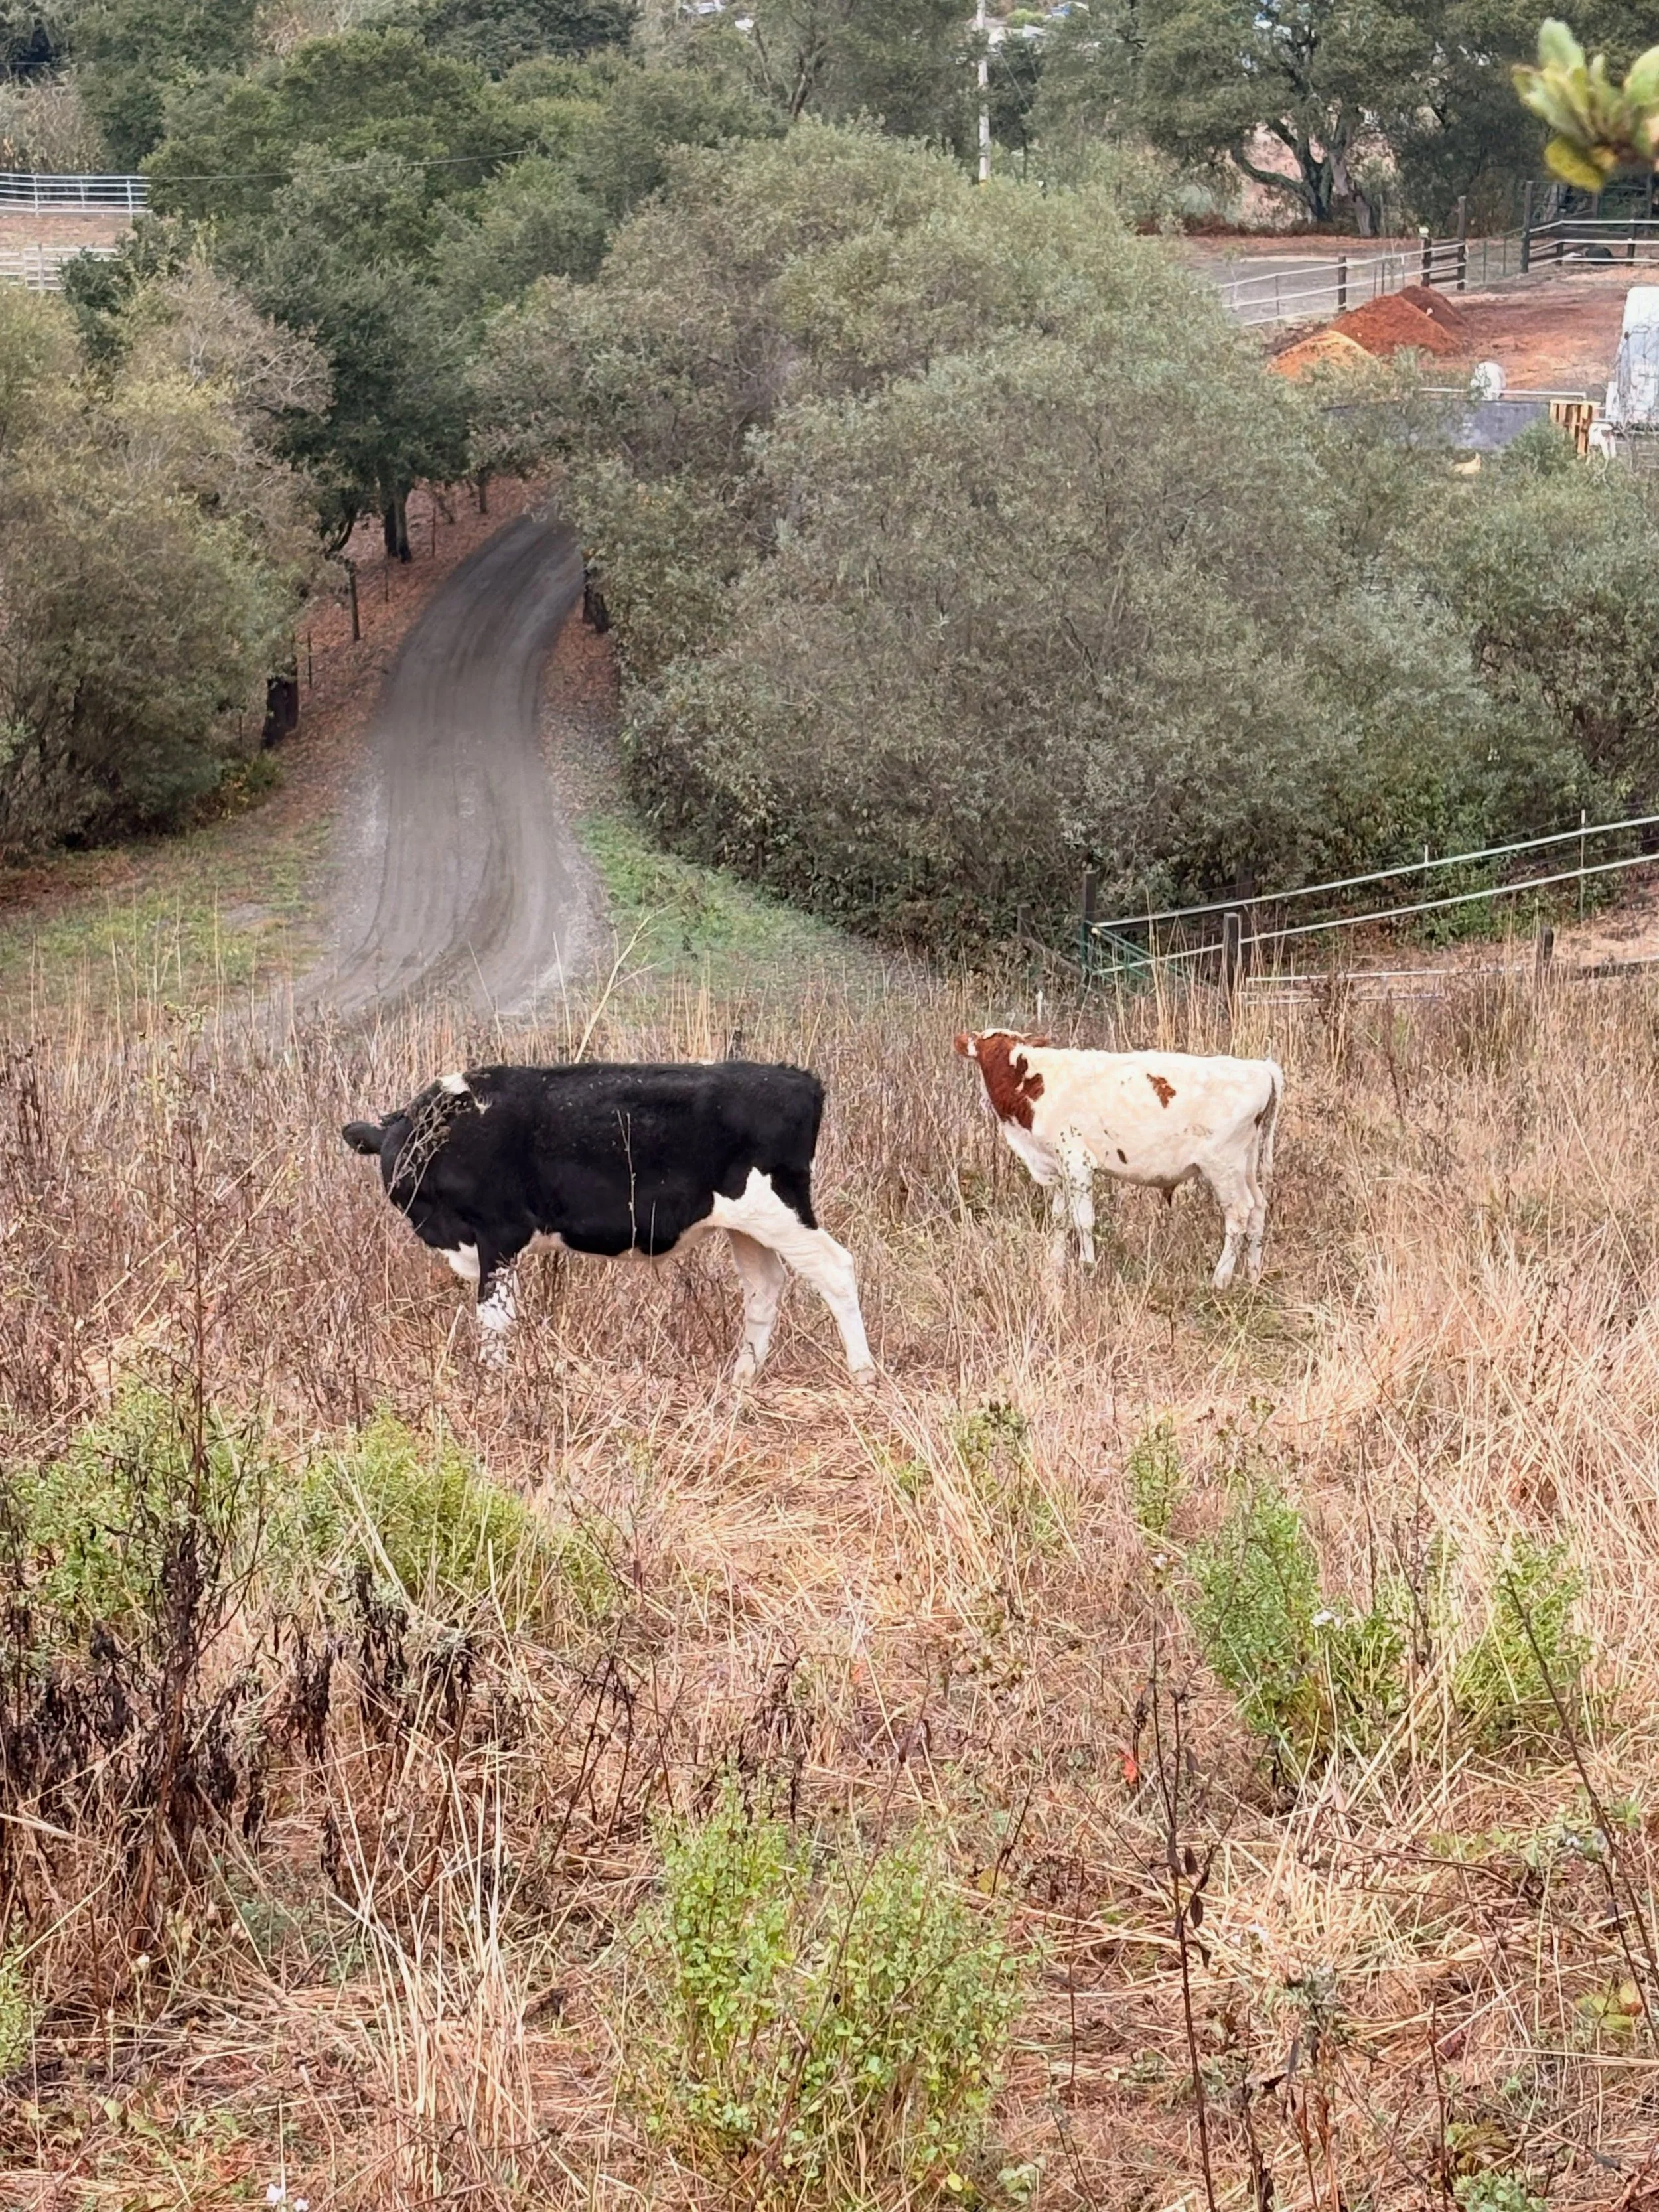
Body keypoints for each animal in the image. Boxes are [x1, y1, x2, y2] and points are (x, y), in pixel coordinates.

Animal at [342, 1061, 875, 1384]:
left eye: (424, 1159)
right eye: (393, 1161)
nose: (404, 1187)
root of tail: (796, 1078)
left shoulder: (500, 1233)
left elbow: (495, 1318)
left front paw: (495, 1380)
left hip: (779, 1210)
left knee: (835, 1268)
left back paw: (863, 1374)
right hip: (747, 1226)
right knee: (764, 1288)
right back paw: (741, 1378)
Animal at [954, 1031, 1284, 1290]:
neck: (1035, 1084)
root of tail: (1259, 1066)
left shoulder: (1077, 1162)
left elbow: (1083, 1221)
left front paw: (1088, 1267)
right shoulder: (1058, 1168)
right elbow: (1060, 1220)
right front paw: (1055, 1266)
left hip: (1223, 1165)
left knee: (1239, 1213)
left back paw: (1221, 1279)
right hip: (1247, 1162)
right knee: (1258, 1208)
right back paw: (1253, 1276)